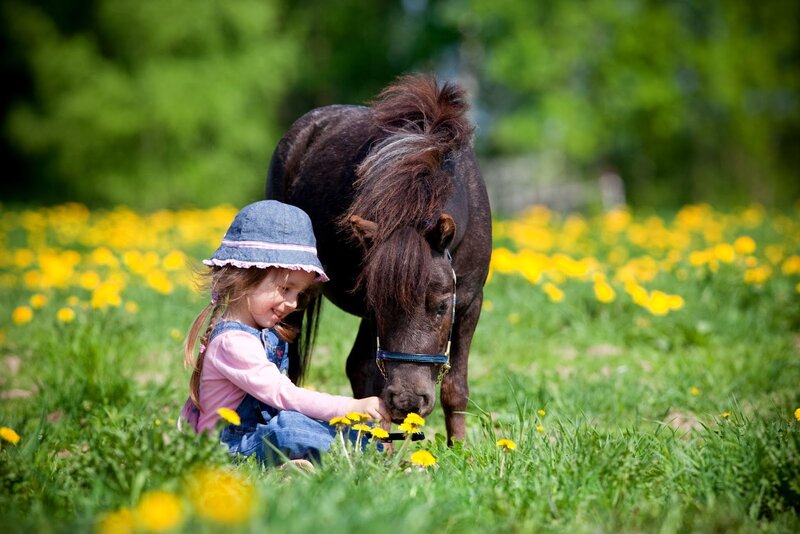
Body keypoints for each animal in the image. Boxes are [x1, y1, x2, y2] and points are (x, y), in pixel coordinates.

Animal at [265, 74, 492, 443]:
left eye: (442, 306)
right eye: (381, 303)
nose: (408, 400)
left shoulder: (471, 302)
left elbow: (455, 388)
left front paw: (459, 448)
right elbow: (373, 378)